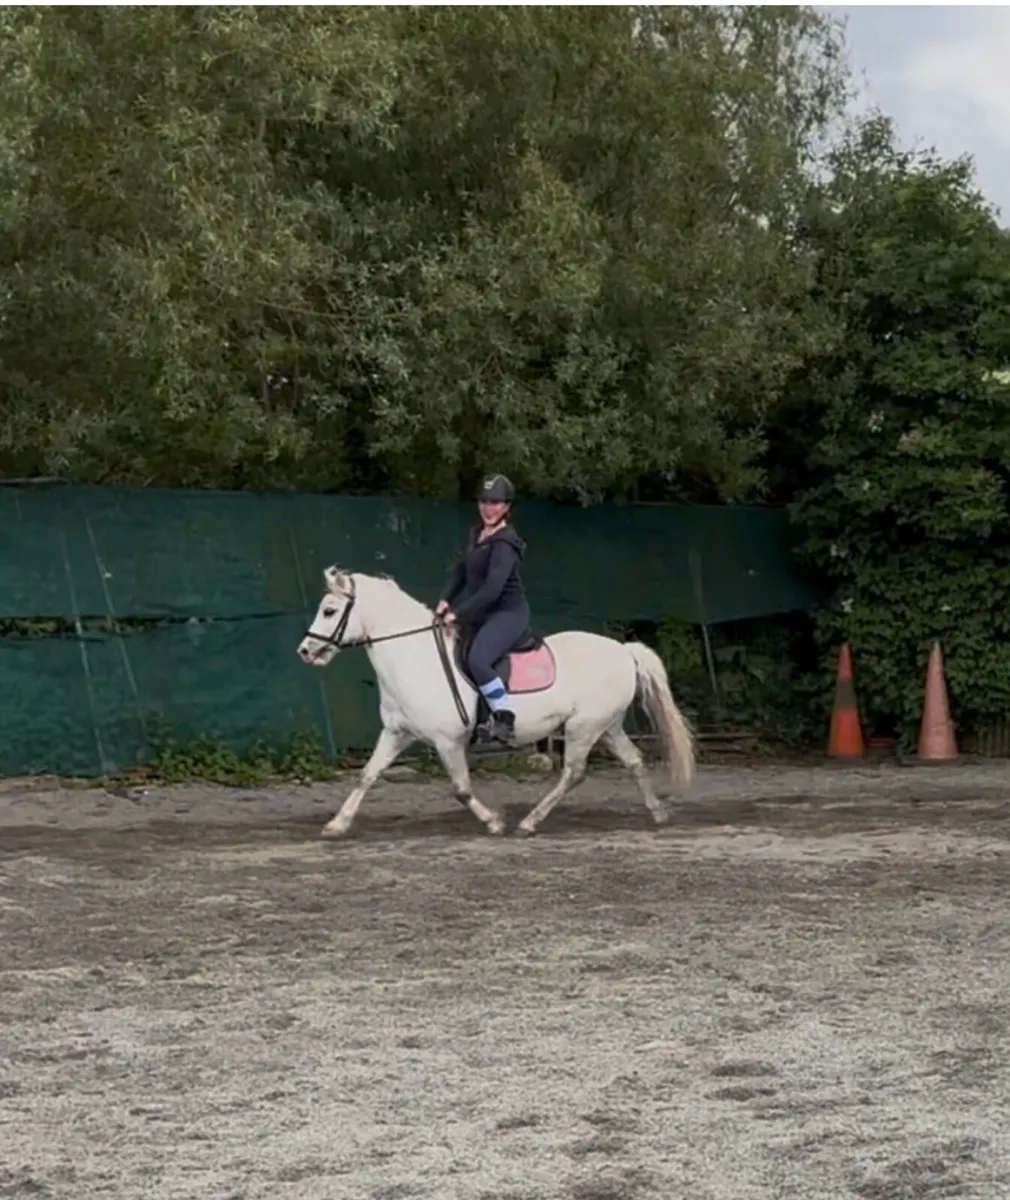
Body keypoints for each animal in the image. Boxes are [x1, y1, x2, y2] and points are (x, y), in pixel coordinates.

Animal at [296, 566, 695, 838]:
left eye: (329, 611)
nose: (305, 652)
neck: (414, 659)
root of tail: (624, 650)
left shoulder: (447, 741)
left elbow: (460, 789)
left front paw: (494, 821)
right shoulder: (396, 733)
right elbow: (367, 775)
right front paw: (337, 823)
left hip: (583, 728)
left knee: (573, 773)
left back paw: (529, 822)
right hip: (607, 727)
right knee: (634, 761)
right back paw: (658, 813)